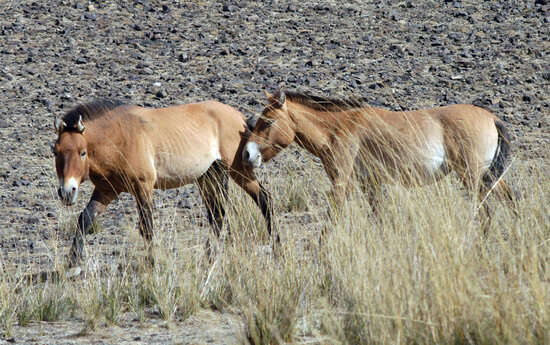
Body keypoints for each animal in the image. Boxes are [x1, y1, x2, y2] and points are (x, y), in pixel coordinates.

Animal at [54, 99, 278, 266]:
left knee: (264, 199)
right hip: (209, 178)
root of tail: (239, 117)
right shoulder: (106, 190)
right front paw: (73, 262)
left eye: (83, 152)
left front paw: (152, 262)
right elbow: (85, 219)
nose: (67, 192)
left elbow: (147, 227)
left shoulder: (143, 187)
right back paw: (209, 255)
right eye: (55, 151)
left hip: (238, 170)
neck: (119, 138)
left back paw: (276, 244)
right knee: (217, 215)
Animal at [244, 90, 520, 220]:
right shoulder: (371, 185)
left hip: (473, 177)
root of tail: (491, 117)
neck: (339, 127)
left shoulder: (342, 183)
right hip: (487, 177)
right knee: (511, 200)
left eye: (268, 121)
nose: (248, 154)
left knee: (486, 212)